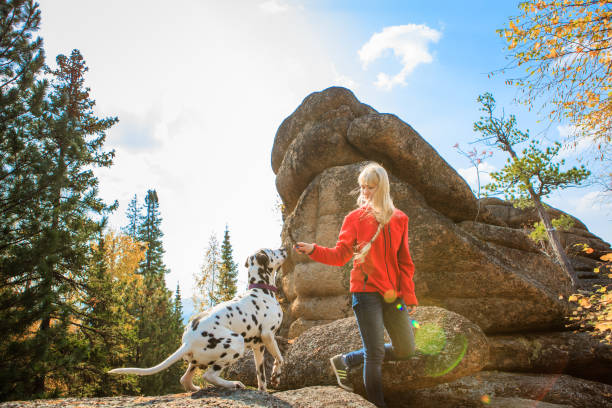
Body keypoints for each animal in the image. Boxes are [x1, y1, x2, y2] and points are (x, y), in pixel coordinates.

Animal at [109, 247, 286, 390]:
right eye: (272, 250)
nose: (283, 248)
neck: (261, 290)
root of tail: (187, 341)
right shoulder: (268, 336)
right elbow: (280, 358)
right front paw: (276, 376)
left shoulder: (259, 347)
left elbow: (261, 377)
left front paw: (265, 389)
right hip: (236, 342)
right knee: (209, 376)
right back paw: (233, 384)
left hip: (195, 362)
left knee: (185, 380)